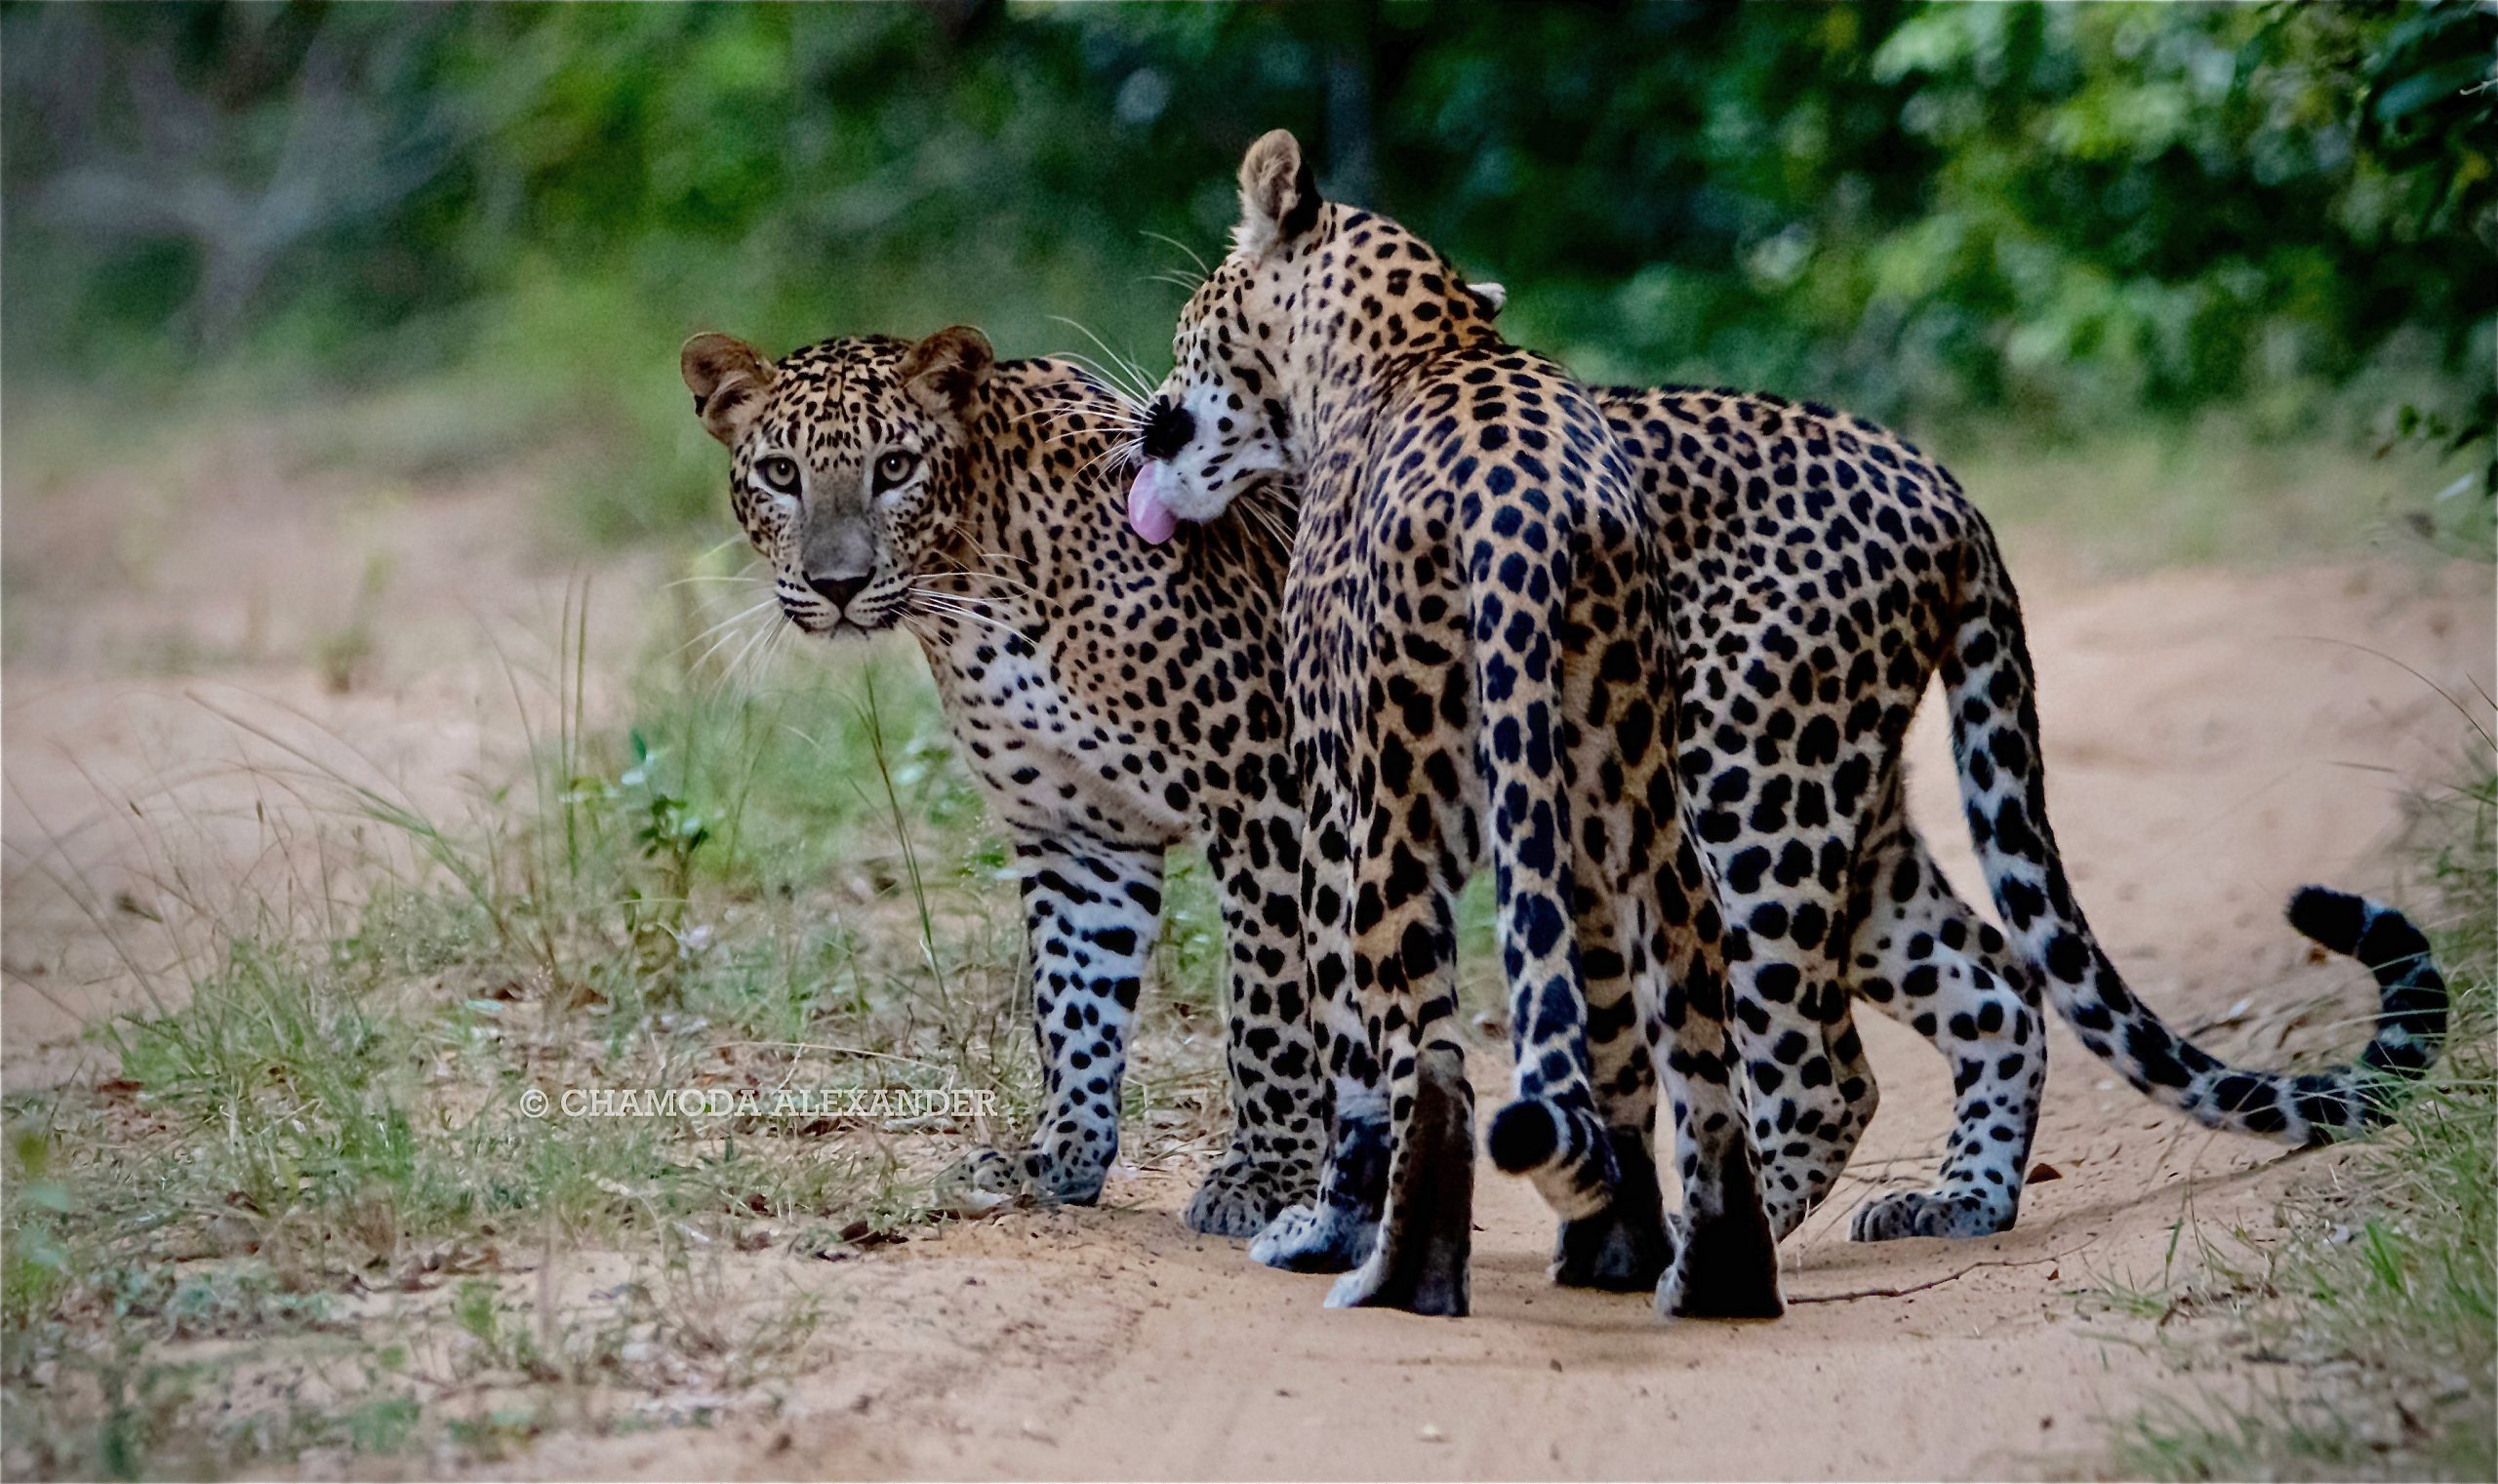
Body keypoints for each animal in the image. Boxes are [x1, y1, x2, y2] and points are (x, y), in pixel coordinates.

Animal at [1124, 130, 2447, 1279]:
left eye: (1191, 325)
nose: (1150, 418)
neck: (1418, 345)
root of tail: (1948, 492)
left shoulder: (1345, 805)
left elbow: (1357, 1032)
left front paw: (1321, 1223)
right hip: (1830, 811)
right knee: (1992, 989)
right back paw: (1949, 1202)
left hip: (1748, 799)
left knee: (1820, 1069)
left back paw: (1708, 1231)